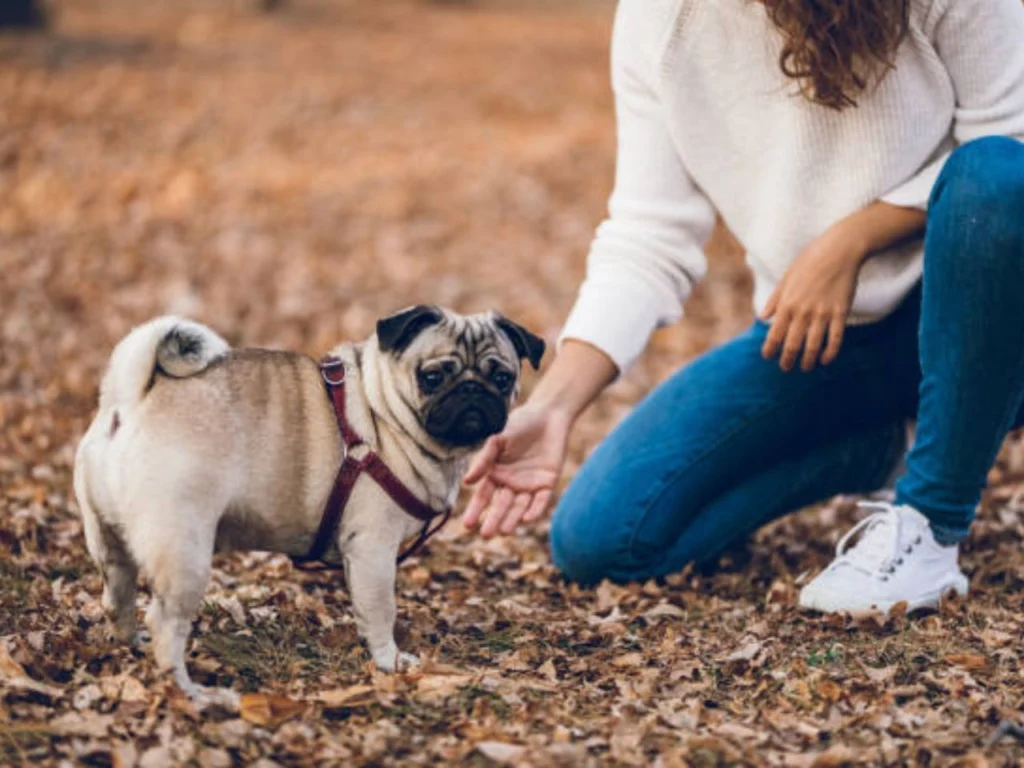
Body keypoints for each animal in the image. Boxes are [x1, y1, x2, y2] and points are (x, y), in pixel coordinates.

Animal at [74, 307, 544, 704]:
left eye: (503, 378)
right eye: (432, 376)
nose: (473, 391)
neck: (383, 411)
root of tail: (131, 399)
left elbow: (363, 608)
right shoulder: (373, 549)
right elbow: (380, 610)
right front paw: (389, 662)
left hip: (109, 541)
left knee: (117, 597)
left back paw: (134, 645)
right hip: (183, 547)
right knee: (165, 621)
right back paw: (190, 691)